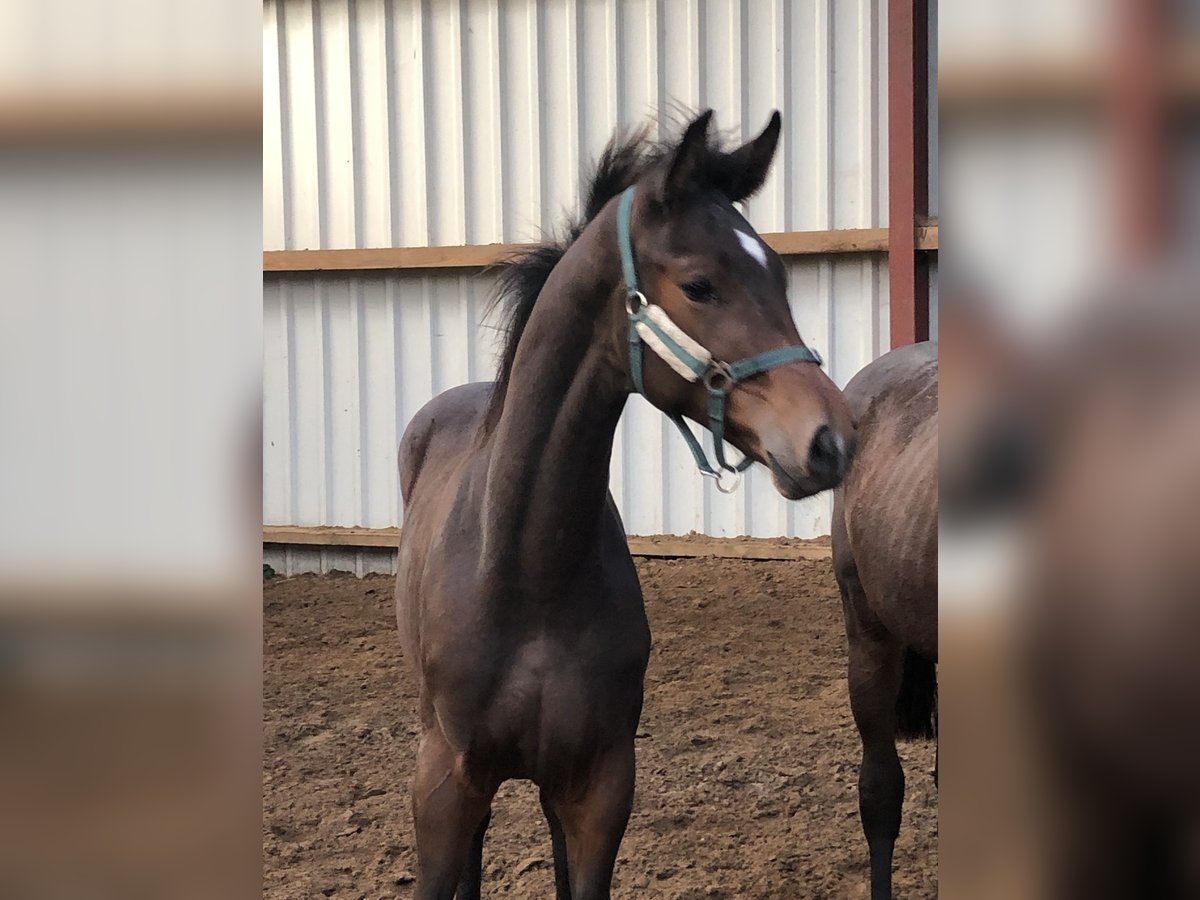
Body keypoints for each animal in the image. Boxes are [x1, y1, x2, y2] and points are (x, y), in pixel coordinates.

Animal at [393, 112, 854, 900]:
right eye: (699, 284)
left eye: (780, 275)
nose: (831, 440)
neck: (527, 573)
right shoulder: (444, 784)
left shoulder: (598, 788)